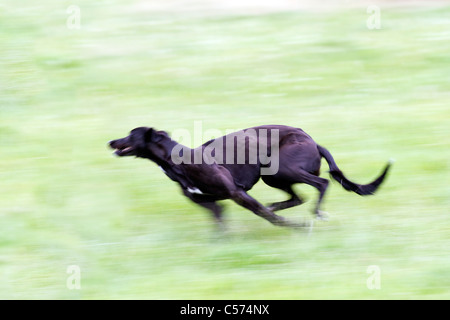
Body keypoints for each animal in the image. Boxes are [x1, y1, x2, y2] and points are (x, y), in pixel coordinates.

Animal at [109, 124, 390, 228]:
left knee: (321, 185)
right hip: (273, 176)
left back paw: (317, 213)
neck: (177, 160)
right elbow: (220, 225)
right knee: (297, 197)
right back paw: (281, 204)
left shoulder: (237, 193)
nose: (110, 141)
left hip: (280, 167)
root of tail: (314, 141)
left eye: (131, 134)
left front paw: (294, 227)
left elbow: (268, 217)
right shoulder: (213, 205)